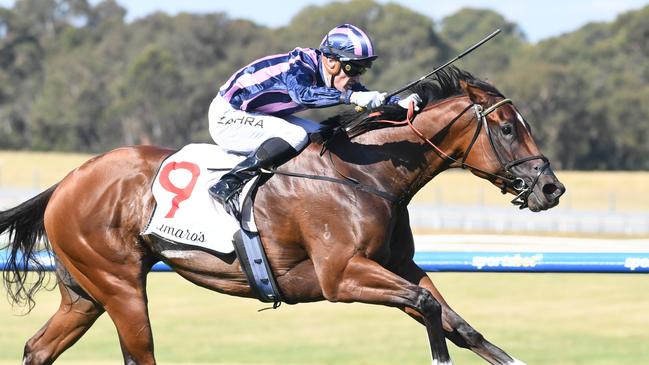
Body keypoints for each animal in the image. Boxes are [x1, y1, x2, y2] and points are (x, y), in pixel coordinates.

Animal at [1, 67, 560, 362]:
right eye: (508, 128)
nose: (551, 188)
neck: (363, 172)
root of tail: (68, 181)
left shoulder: (397, 266)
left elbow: (457, 322)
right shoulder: (341, 275)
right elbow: (427, 307)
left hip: (85, 294)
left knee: (38, 347)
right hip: (119, 286)